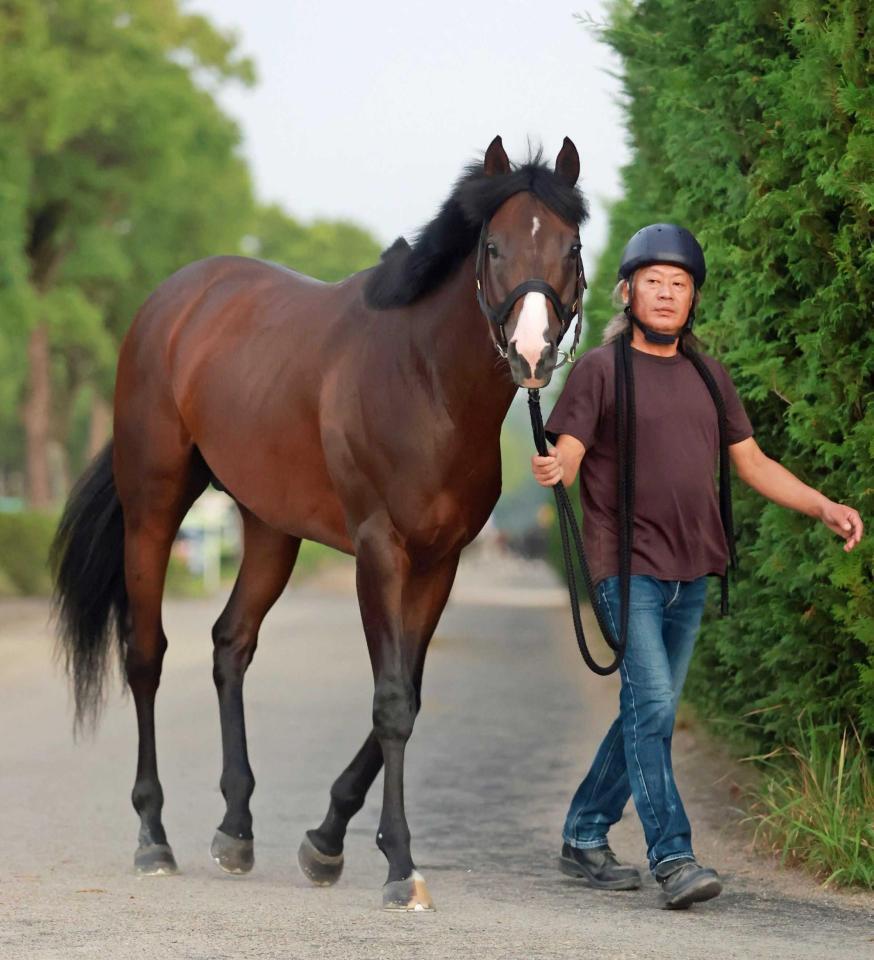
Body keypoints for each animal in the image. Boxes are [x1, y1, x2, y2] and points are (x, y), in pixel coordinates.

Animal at [52, 133, 584, 908]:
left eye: (571, 247)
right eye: (492, 246)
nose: (533, 352)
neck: (424, 380)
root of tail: (174, 300)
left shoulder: (441, 561)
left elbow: (408, 692)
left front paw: (326, 841)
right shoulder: (379, 551)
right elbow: (390, 700)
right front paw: (399, 868)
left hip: (270, 527)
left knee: (231, 643)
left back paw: (236, 829)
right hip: (152, 507)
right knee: (146, 654)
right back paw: (153, 836)